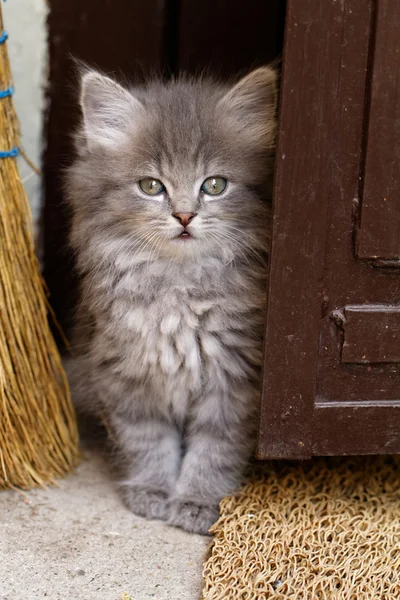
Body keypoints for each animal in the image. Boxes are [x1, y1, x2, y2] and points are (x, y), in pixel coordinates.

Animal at [66, 67, 278, 536]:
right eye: (151, 186)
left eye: (214, 185)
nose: (184, 216)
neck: (177, 289)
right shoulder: (124, 373)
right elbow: (148, 441)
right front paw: (152, 491)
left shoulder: (235, 380)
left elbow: (214, 449)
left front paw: (196, 501)